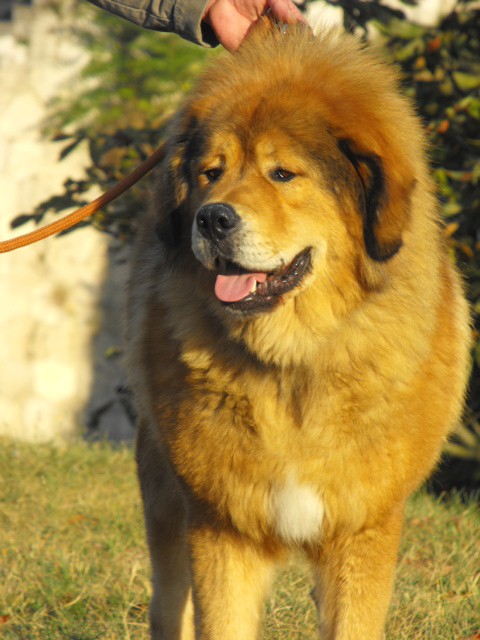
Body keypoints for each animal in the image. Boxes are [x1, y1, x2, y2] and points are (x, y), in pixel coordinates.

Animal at [125, 19, 471, 640]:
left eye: (282, 173)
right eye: (210, 173)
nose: (210, 218)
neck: (294, 363)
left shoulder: (362, 532)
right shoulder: (219, 527)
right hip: (166, 510)